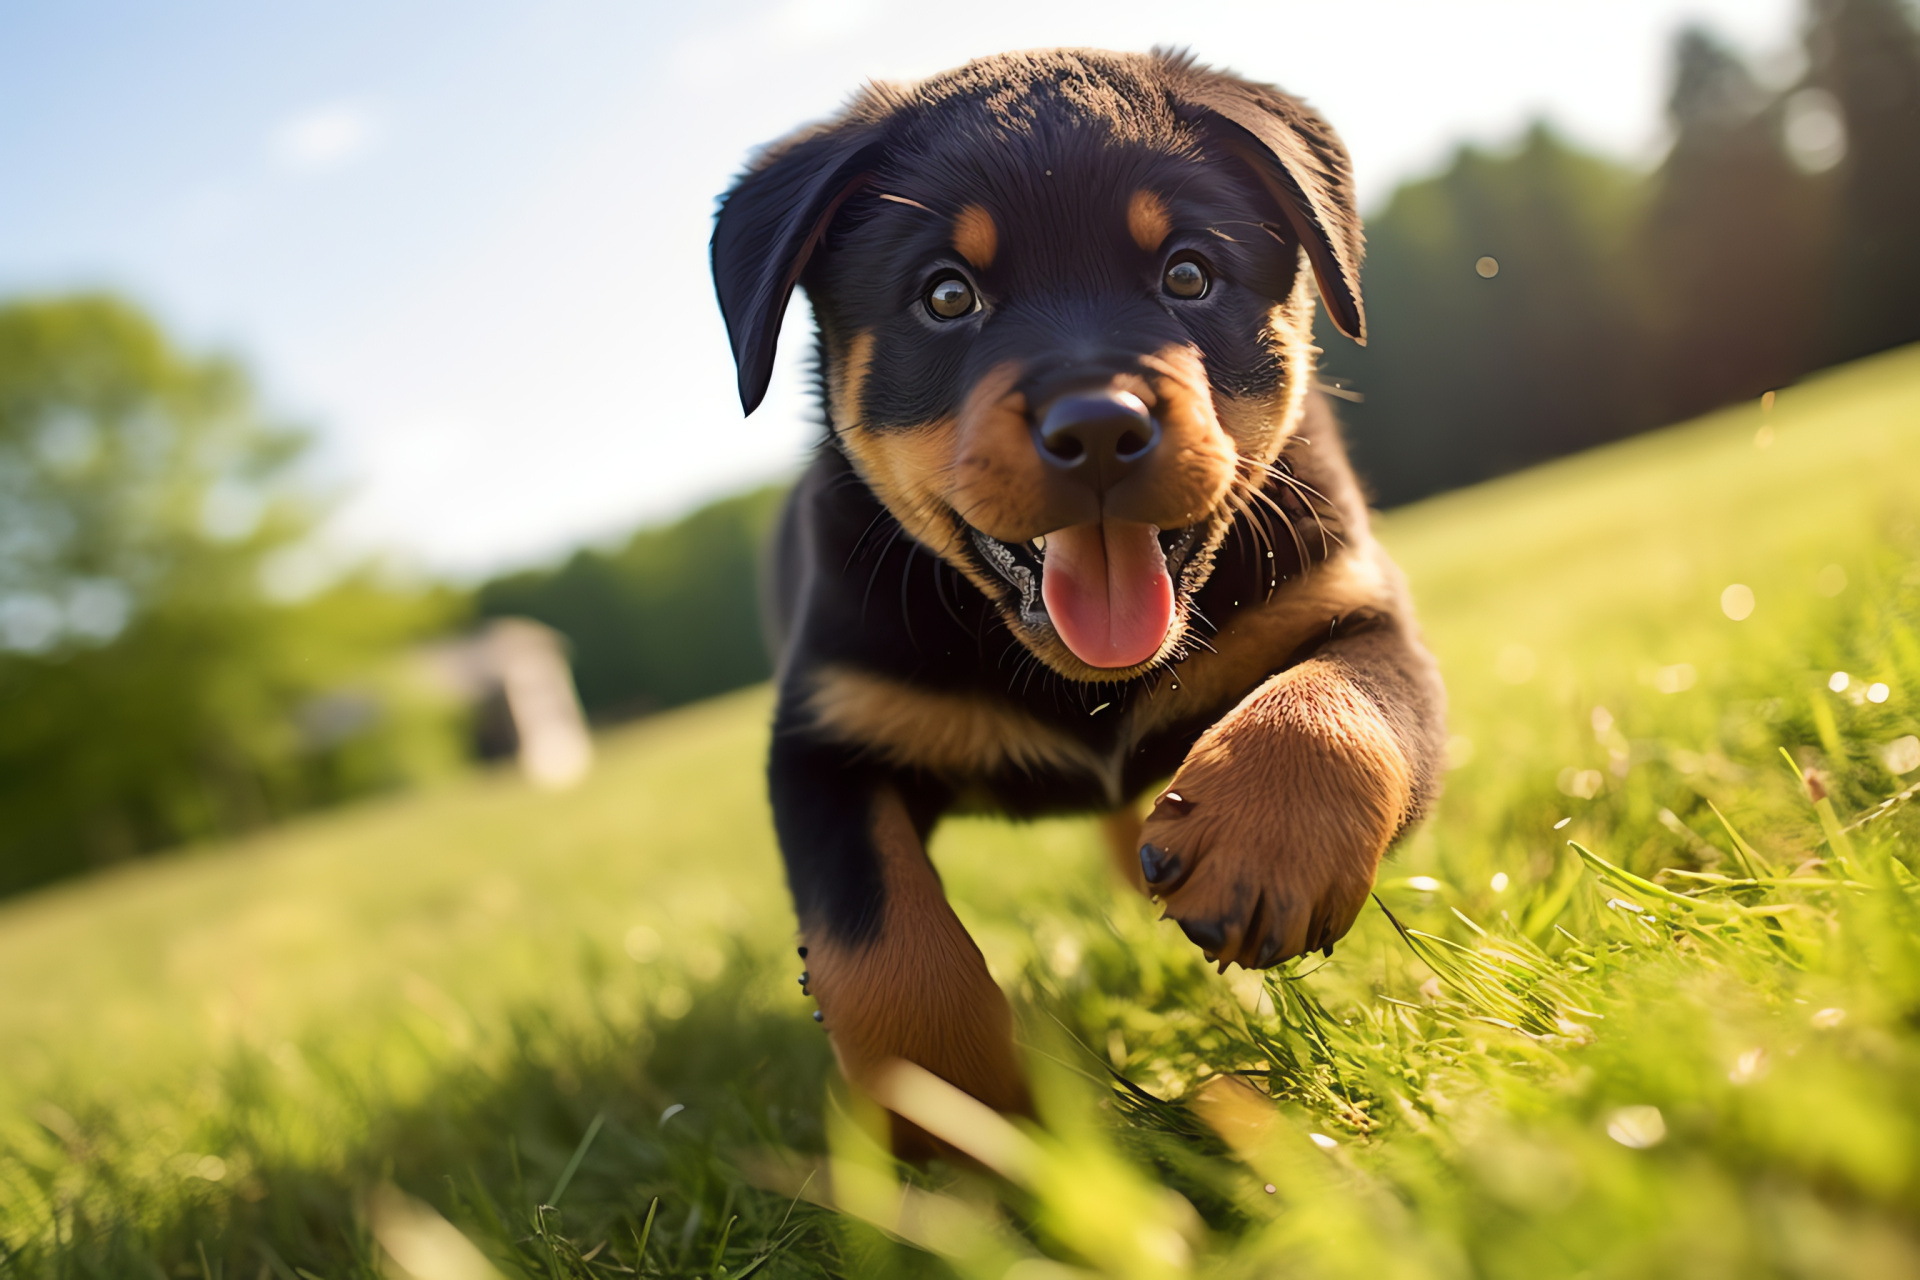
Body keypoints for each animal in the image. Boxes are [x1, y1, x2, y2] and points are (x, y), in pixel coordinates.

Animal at [714, 47, 1443, 1151]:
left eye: (1187, 274)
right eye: (946, 295)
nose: (1099, 423)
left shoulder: (1352, 601)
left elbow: (1343, 702)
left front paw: (1260, 839)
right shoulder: (824, 736)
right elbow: (881, 936)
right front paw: (952, 1113)